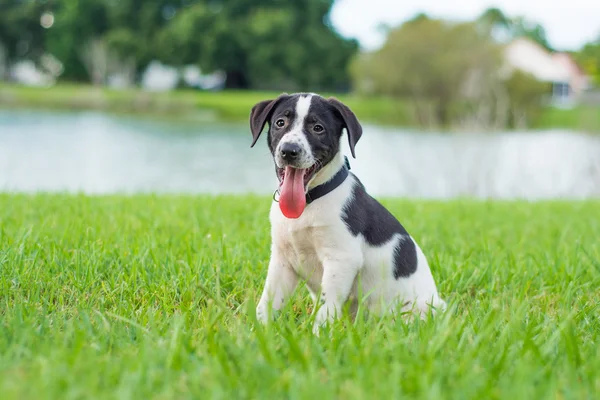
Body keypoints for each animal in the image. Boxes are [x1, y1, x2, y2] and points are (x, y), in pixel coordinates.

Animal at [248, 92, 446, 332]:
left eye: (318, 128)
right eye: (280, 123)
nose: (289, 151)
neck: (309, 202)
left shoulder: (341, 258)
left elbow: (326, 306)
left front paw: (318, 337)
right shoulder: (282, 259)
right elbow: (267, 302)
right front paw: (256, 333)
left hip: (418, 310)